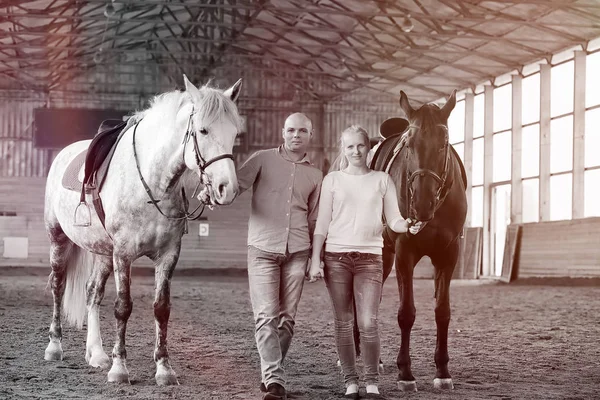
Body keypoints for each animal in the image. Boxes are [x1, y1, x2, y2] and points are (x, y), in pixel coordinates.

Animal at [42, 75, 244, 384]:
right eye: (203, 130)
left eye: (234, 133)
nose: (227, 189)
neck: (153, 184)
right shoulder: (124, 254)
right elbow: (123, 307)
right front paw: (120, 369)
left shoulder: (168, 255)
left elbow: (161, 308)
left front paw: (164, 369)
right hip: (59, 237)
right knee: (58, 285)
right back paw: (55, 347)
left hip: (103, 252)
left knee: (92, 292)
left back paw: (96, 354)